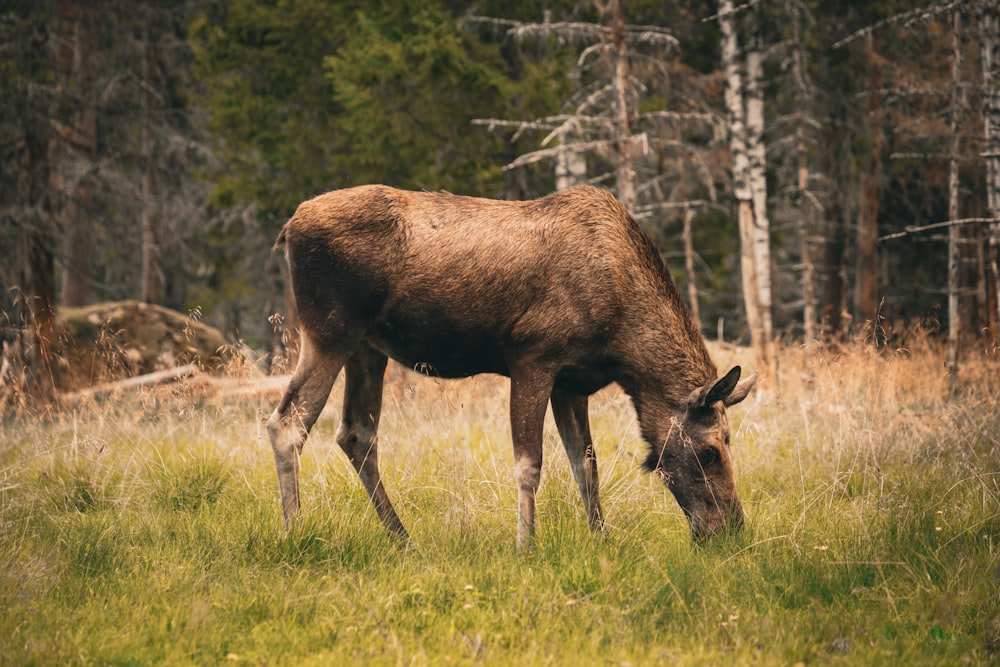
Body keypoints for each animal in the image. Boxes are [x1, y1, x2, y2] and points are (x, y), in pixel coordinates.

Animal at [268, 184, 756, 548]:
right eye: (711, 451)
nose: (732, 529)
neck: (622, 344)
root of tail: (289, 227)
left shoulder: (571, 383)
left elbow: (587, 466)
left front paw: (602, 539)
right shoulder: (533, 357)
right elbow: (530, 463)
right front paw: (527, 545)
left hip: (369, 347)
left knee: (357, 433)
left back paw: (403, 538)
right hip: (330, 331)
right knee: (287, 422)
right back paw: (296, 531)